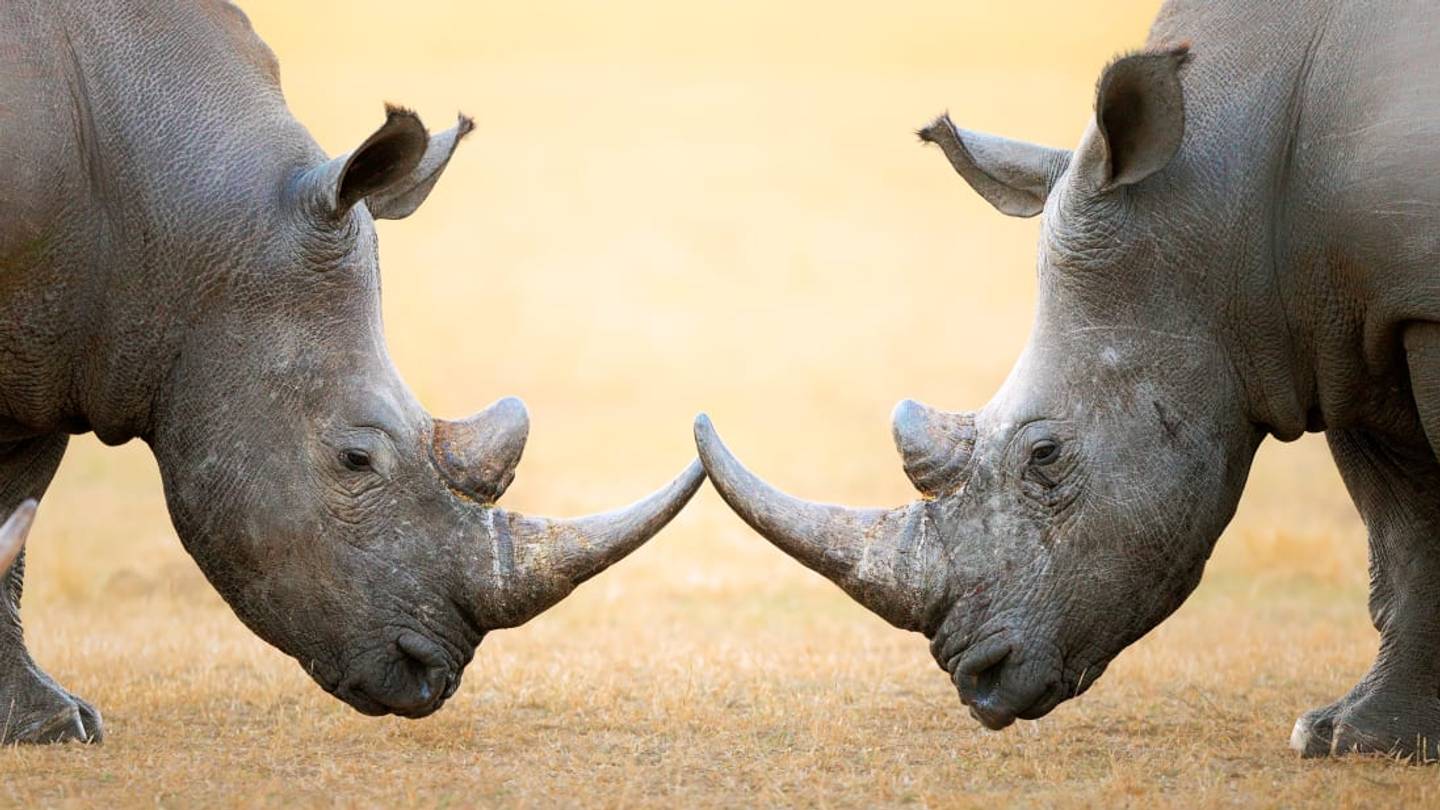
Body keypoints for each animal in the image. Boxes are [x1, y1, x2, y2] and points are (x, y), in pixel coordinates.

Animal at [0, 1, 703, 744]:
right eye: (355, 459)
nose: (429, 676)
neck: (177, 225)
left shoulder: (56, 354)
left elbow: (16, 512)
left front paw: (47, 727)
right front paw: (53, 727)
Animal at [697, 0, 1440, 760]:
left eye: (1045, 456)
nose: (978, 680)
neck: (1223, 199)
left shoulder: (1407, 312)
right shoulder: (1340, 330)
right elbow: (1405, 536)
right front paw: (1353, 739)